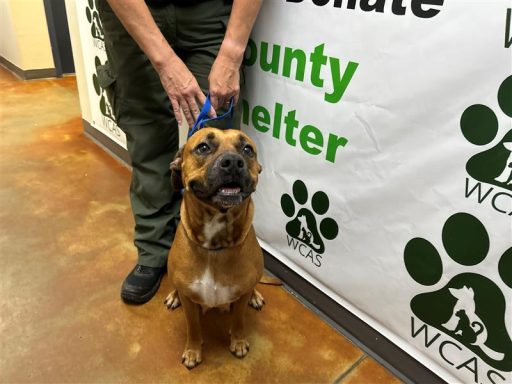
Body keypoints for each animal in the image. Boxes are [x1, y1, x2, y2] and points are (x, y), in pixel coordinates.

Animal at [164, 128, 264, 368]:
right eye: (203, 147)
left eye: (247, 149)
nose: (233, 162)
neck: (214, 247)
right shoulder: (190, 301)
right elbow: (193, 328)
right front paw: (193, 350)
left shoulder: (240, 297)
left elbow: (238, 321)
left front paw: (238, 341)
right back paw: (173, 295)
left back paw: (256, 295)